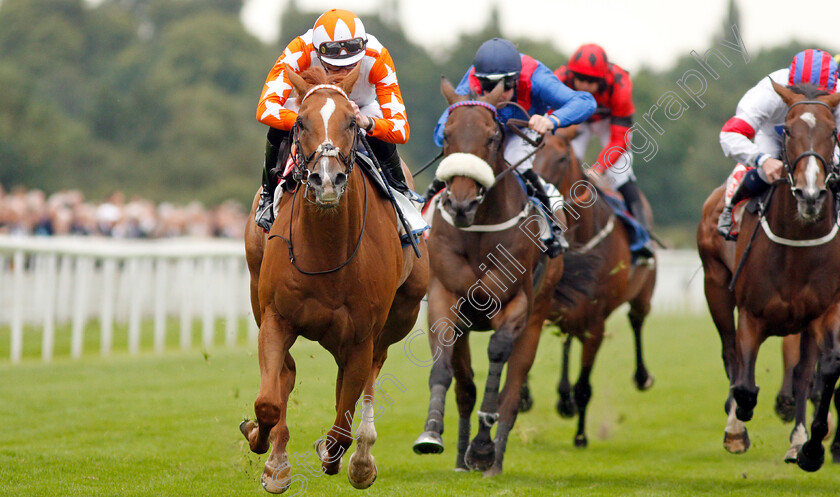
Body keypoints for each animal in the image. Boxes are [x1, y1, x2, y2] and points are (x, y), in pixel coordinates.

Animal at [241, 64, 430, 490]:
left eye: (351, 122)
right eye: (300, 121)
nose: (326, 180)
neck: (326, 251)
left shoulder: (361, 335)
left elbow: (343, 423)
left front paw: (336, 455)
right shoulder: (275, 318)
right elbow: (269, 401)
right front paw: (268, 455)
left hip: (400, 315)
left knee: (369, 377)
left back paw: (361, 458)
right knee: (288, 374)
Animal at [412, 79, 564, 474]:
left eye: (493, 137)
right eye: (447, 134)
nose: (461, 204)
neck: (478, 231)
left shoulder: (517, 303)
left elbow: (498, 355)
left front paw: (482, 447)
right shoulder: (445, 297)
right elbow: (444, 370)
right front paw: (431, 432)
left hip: (537, 318)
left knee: (511, 394)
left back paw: (492, 460)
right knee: (465, 389)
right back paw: (461, 460)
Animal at [532, 124, 656, 446]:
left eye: (563, 158)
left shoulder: (596, 325)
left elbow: (584, 386)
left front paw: (580, 436)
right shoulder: (550, 302)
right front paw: (525, 395)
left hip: (643, 294)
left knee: (637, 320)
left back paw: (642, 376)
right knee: (565, 338)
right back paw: (563, 399)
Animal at [700, 82, 840, 468]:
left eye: (833, 131)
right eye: (787, 130)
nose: (810, 194)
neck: (796, 245)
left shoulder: (825, 312)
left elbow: (824, 372)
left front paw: (811, 447)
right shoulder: (751, 314)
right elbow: (745, 384)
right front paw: (737, 424)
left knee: (803, 372)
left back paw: (797, 439)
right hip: (715, 288)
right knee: (730, 354)